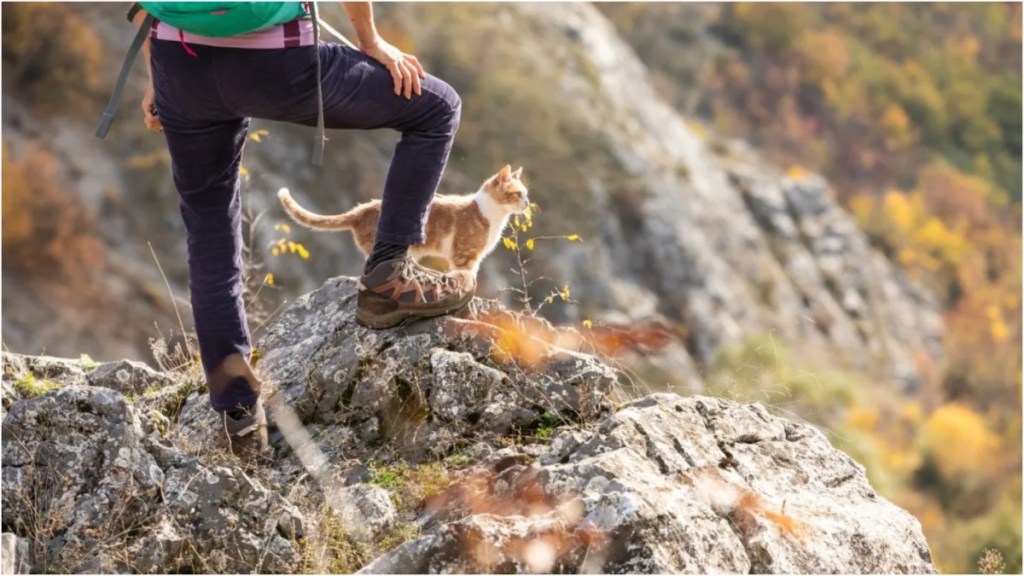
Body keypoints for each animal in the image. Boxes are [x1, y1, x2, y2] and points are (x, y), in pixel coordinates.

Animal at [276, 165, 532, 274]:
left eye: (526, 194)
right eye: (518, 194)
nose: (528, 203)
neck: (493, 215)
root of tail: (363, 209)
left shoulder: (474, 258)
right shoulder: (465, 255)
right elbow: (465, 276)